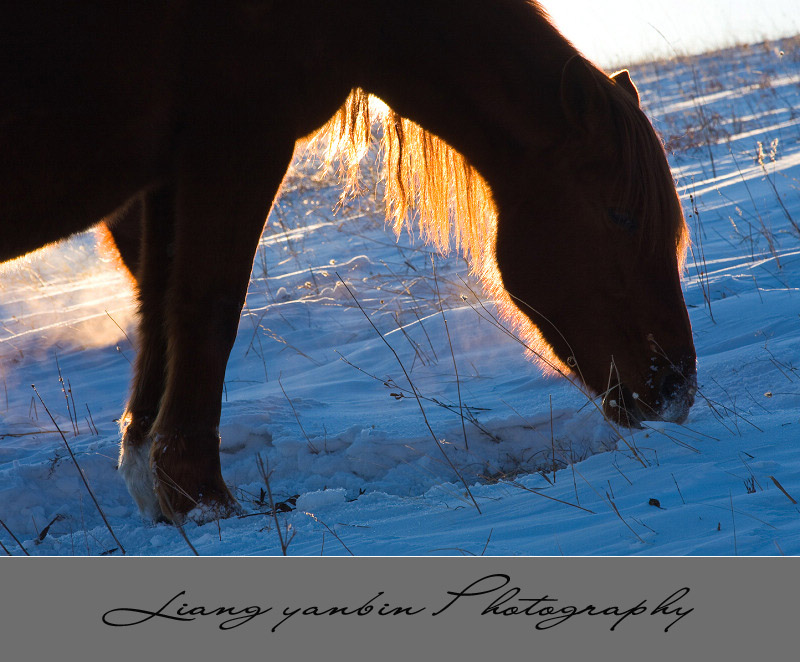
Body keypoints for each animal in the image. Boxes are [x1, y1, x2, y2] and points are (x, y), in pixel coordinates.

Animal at [1, 2, 692, 528]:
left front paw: (153, 478)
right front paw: (201, 497)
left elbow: (158, 308)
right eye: (620, 216)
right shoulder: (237, 140)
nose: (674, 391)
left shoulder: (166, 172)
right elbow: (209, 306)